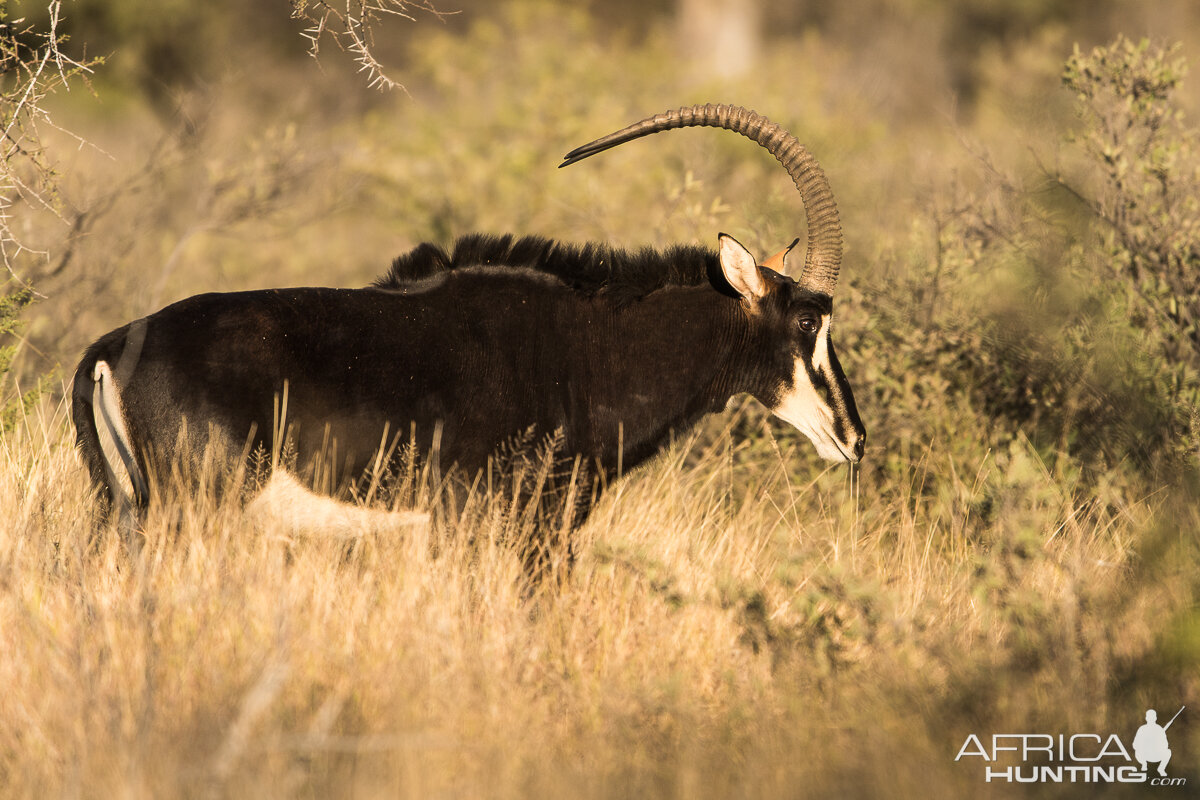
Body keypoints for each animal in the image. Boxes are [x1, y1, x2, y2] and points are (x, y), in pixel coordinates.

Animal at [72, 101, 864, 556]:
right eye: (806, 318)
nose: (854, 439)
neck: (589, 346)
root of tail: (111, 349)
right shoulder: (514, 524)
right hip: (193, 508)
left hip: (129, 512)